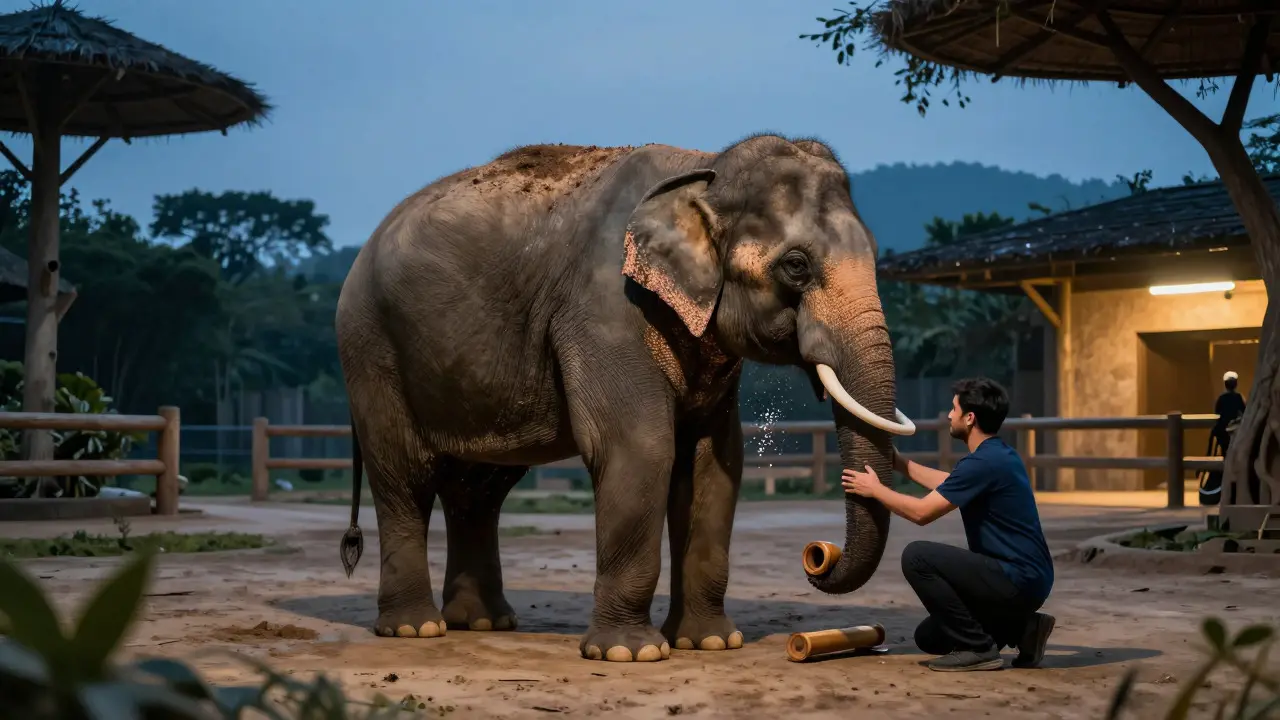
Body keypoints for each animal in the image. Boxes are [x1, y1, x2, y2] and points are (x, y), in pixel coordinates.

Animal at [334, 133, 916, 663]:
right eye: (796, 265)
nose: (818, 556)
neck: (705, 168)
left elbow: (714, 463)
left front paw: (710, 643)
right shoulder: (606, 308)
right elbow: (641, 448)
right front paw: (629, 653)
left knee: (478, 488)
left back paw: (480, 622)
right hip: (372, 349)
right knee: (405, 477)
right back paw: (415, 629)